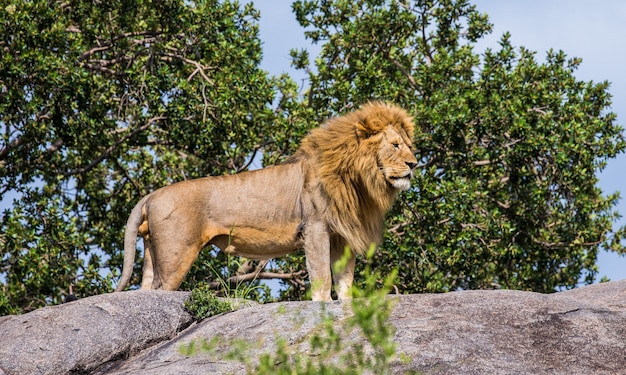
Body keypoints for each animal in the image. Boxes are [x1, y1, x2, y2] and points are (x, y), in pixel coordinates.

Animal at [114, 101, 416, 302]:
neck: (358, 180)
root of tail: (152, 194)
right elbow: (322, 274)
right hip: (175, 255)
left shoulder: (342, 235)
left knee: (144, 289)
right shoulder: (315, 228)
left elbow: (345, 278)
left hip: (152, 252)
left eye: (407, 145)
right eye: (395, 145)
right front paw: (323, 306)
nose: (414, 164)